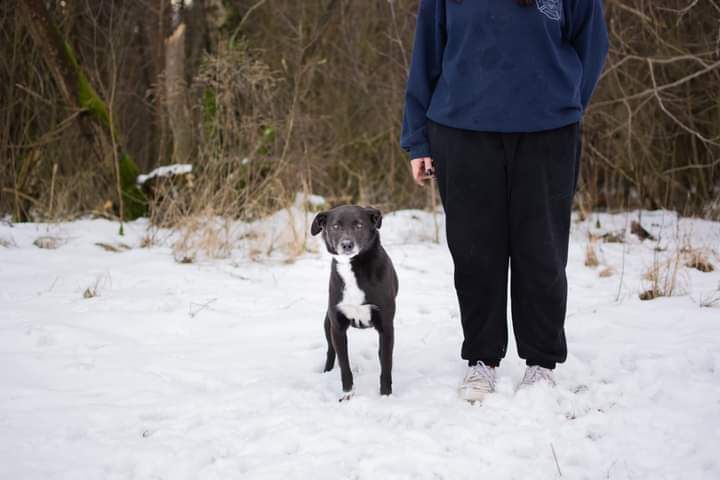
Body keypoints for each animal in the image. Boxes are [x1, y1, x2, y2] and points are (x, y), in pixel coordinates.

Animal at [310, 204, 400, 400]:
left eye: (359, 225)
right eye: (335, 226)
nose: (346, 244)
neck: (353, 266)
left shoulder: (386, 326)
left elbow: (386, 365)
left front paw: (385, 396)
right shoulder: (337, 327)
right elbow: (344, 366)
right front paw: (347, 395)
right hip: (327, 324)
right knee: (330, 351)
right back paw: (326, 371)